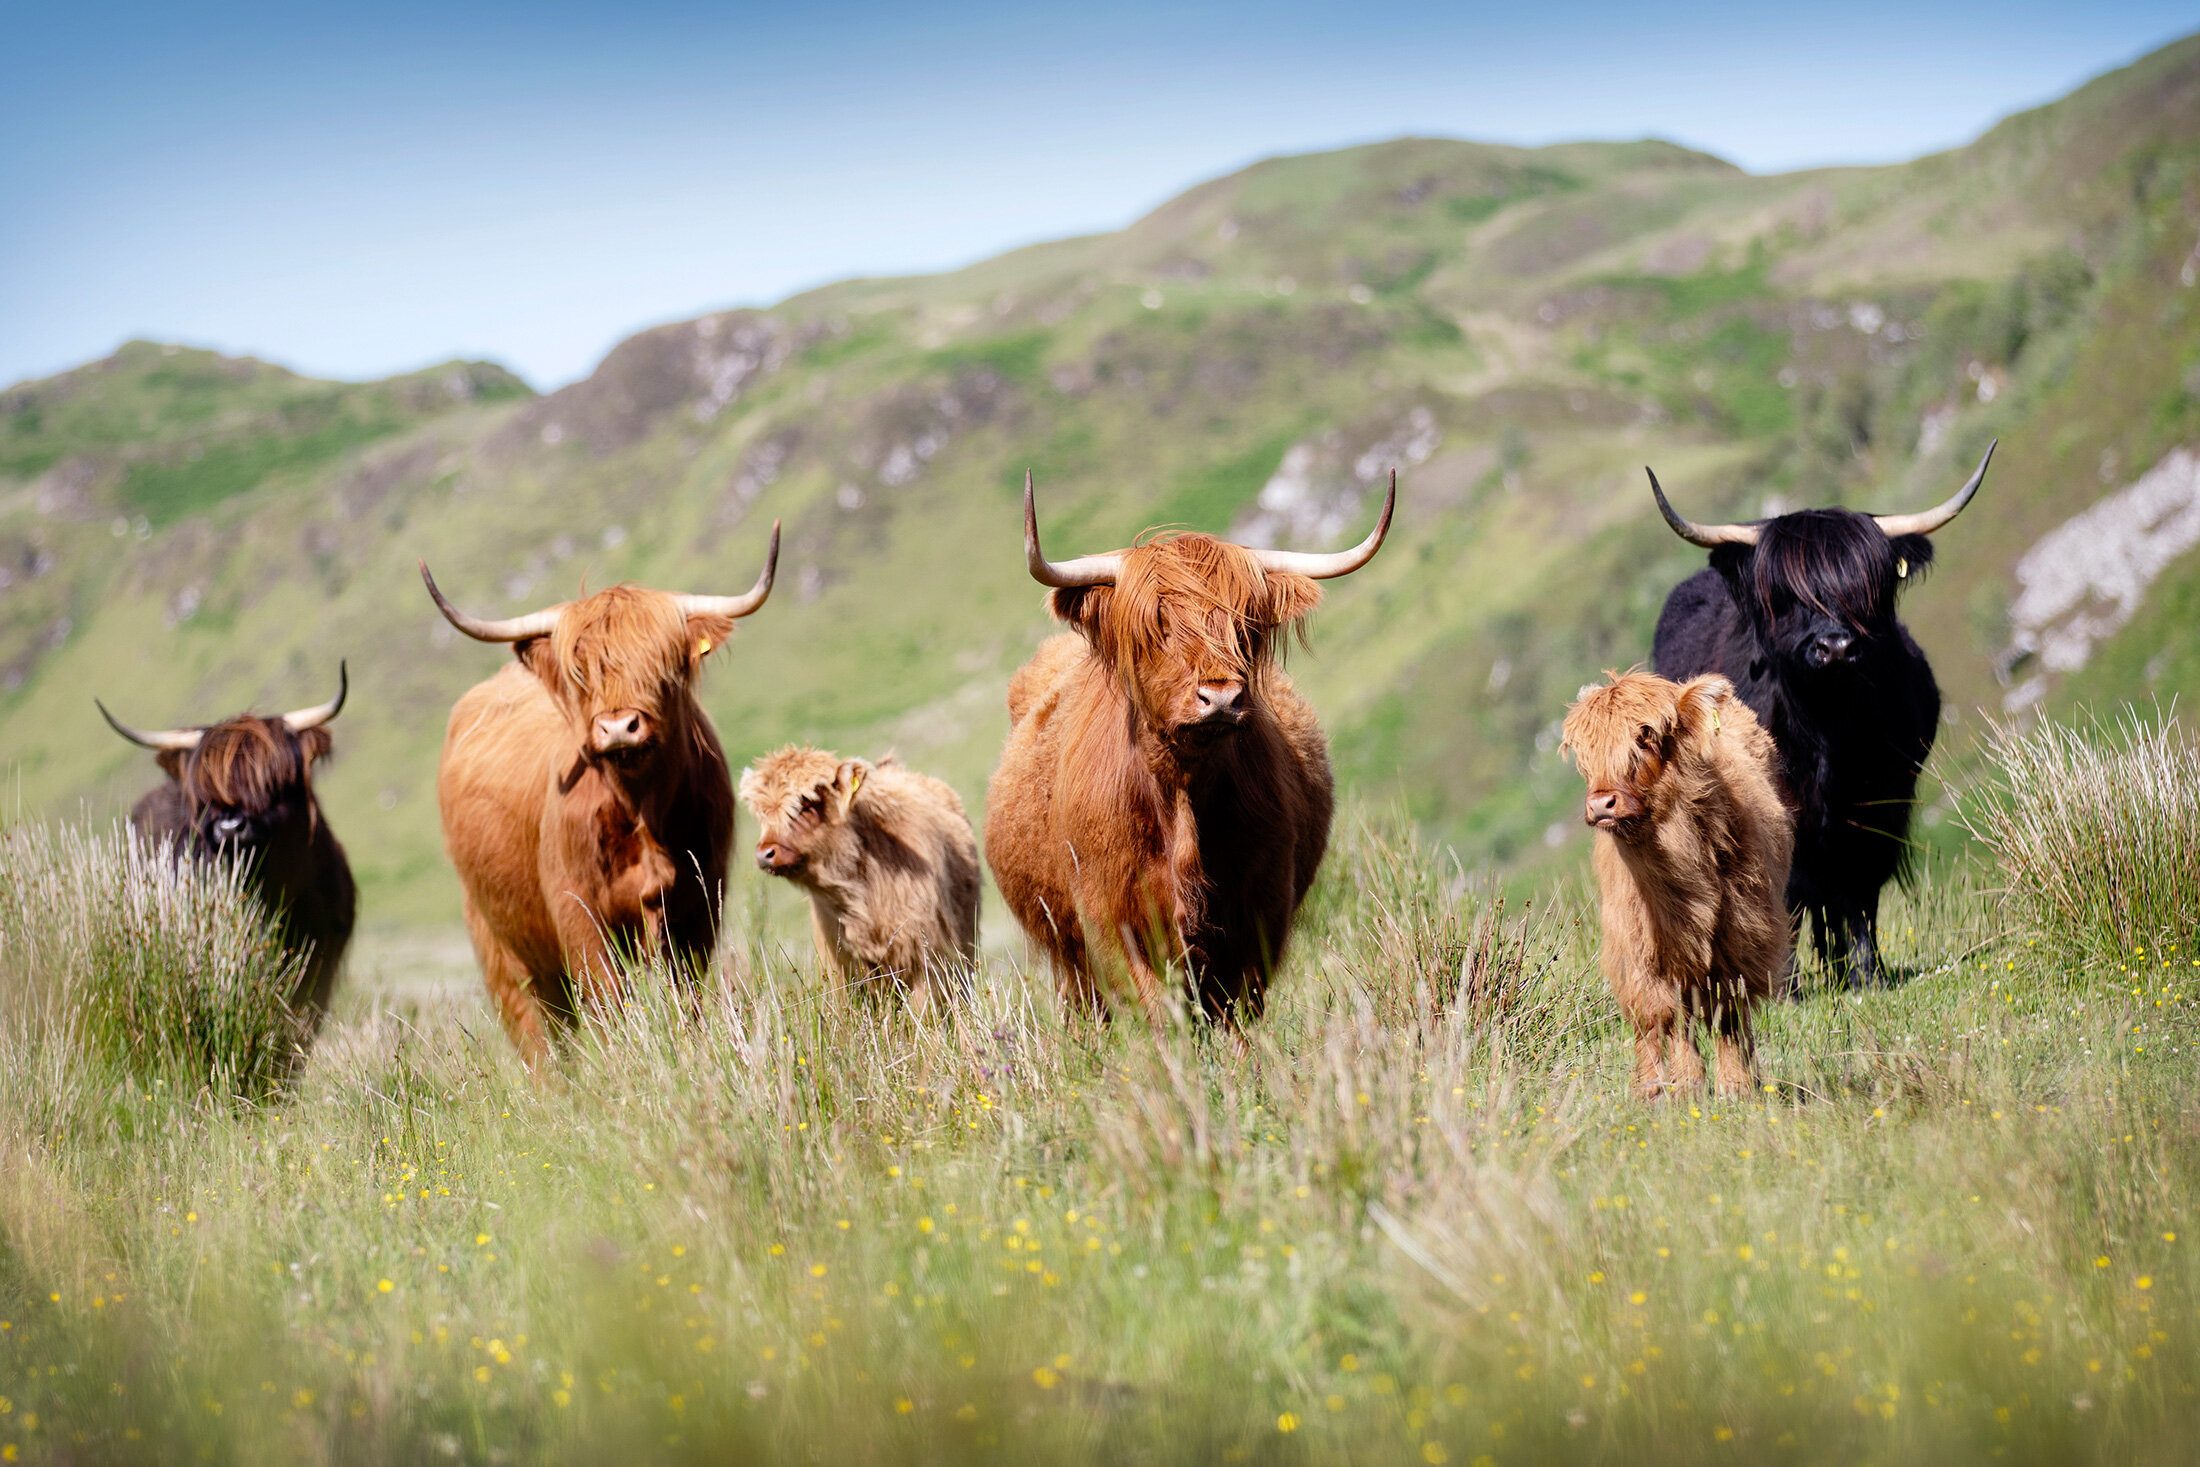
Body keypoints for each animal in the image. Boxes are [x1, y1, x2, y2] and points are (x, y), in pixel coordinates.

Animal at [422, 521, 783, 1060]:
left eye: (660, 665)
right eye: (581, 675)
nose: (618, 728)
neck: (642, 808)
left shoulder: (700, 903)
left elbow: (687, 996)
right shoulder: (578, 913)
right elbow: (610, 1001)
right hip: (499, 945)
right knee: (539, 1037)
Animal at [985, 477, 1390, 1029]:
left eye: (1245, 623)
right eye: (1157, 622)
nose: (1220, 697)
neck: (1181, 793)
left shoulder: (1262, 912)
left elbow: (1238, 1010)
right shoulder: (1108, 919)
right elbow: (1157, 1013)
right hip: (1066, 957)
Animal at [1557, 673, 1795, 1095]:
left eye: (1645, 736)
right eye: (1585, 752)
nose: (1601, 804)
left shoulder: (1740, 937)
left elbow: (1727, 1012)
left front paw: (1735, 1086)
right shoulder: (1636, 943)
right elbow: (1663, 1016)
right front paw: (1681, 1086)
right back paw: (1650, 1084)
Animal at [1654, 444, 1997, 985]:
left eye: (1864, 590)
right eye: (1787, 596)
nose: (1835, 646)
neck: (1826, 731)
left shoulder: (1881, 802)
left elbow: (1860, 889)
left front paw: (1867, 973)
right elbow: (1789, 890)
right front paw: (1785, 984)